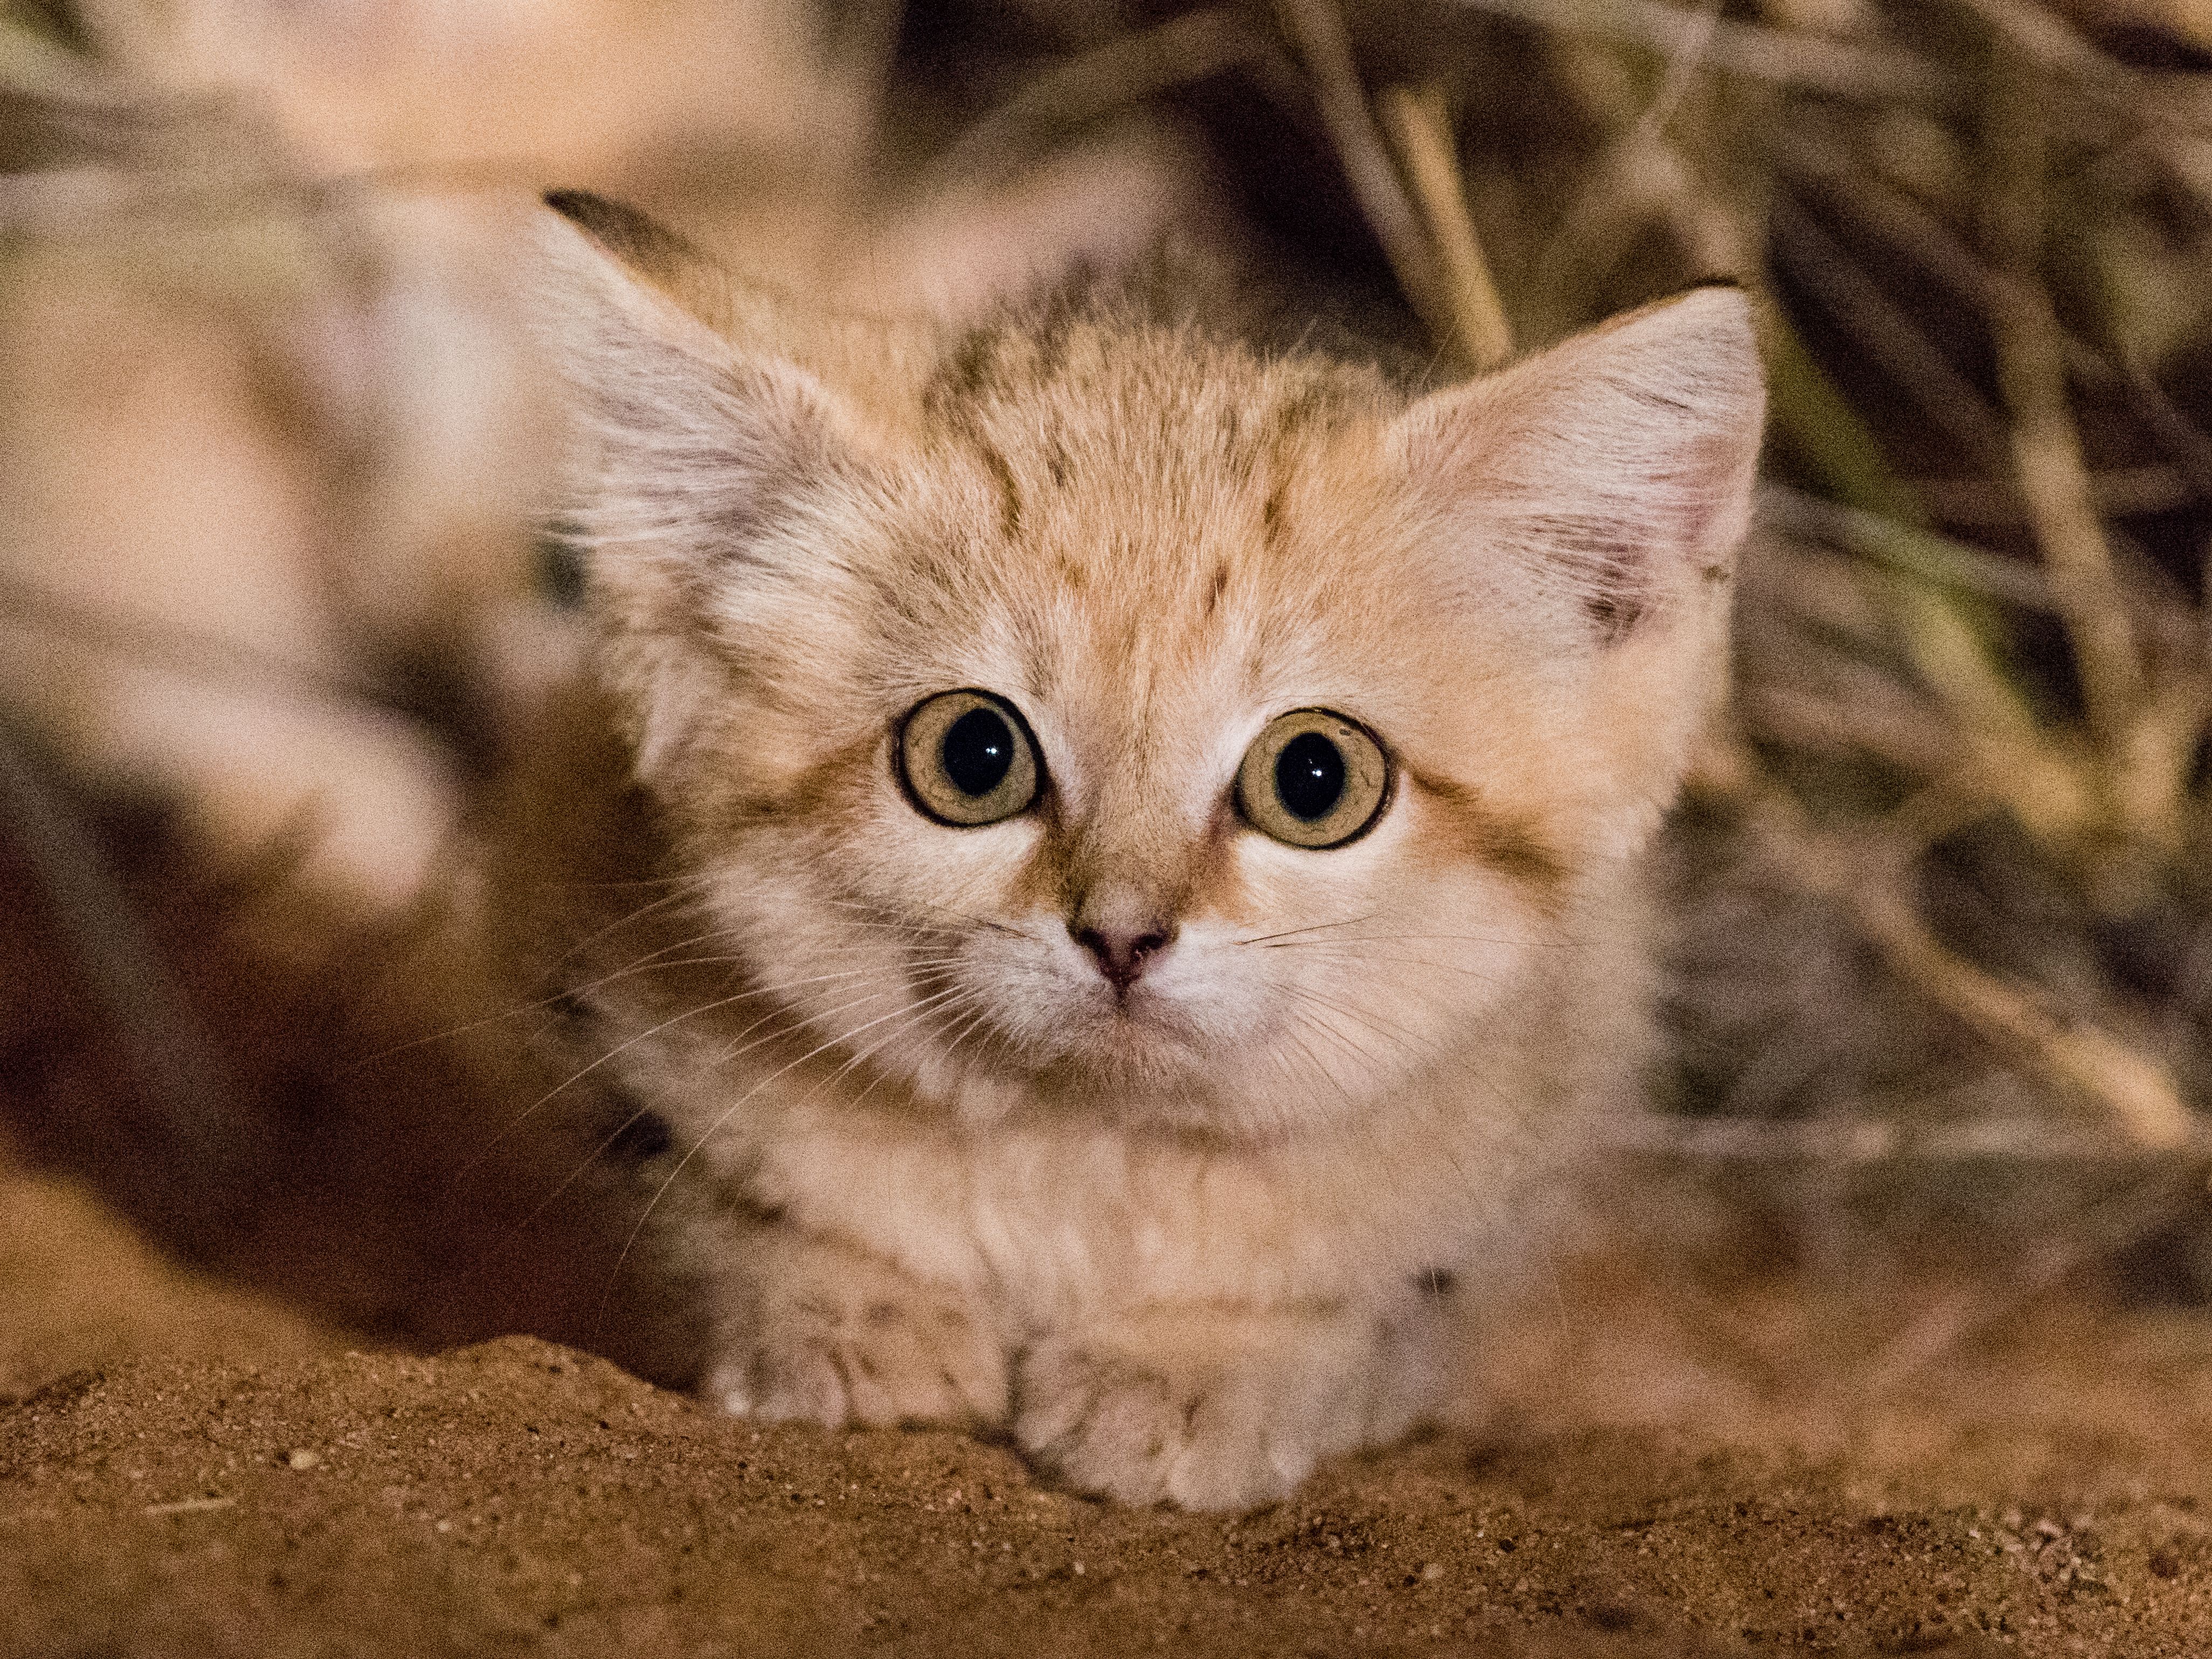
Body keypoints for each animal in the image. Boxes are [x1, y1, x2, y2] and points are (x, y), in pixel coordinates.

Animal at [513, 188, 1760, 1513]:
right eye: (972, 756)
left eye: (1314, 778)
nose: (1121, 935)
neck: (1086, 1163)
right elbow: (712, 1207)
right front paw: (842, 1313)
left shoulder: (1543, 1122)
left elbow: (1370, 1304)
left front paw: (1196, 1364)